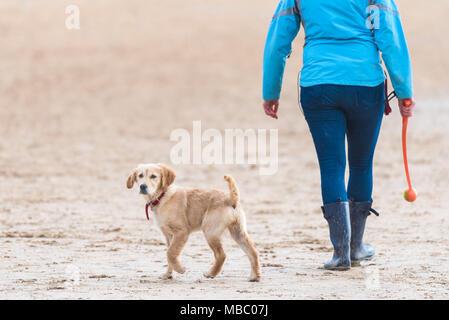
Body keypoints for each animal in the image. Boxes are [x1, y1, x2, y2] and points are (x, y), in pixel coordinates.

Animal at [125, 164, 260, 282]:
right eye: (140, 175)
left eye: (153, 176)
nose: (143, 186)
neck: (162, 196)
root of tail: (231, 198)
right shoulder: (169, 235)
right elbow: (169, 254)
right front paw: (168, 275)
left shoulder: (181, 232)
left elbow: (170, 253)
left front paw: (180, 269)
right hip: (238, 232)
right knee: (253, 252)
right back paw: (255, 276)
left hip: (210, 231)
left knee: (221, 255)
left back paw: (211, 274)